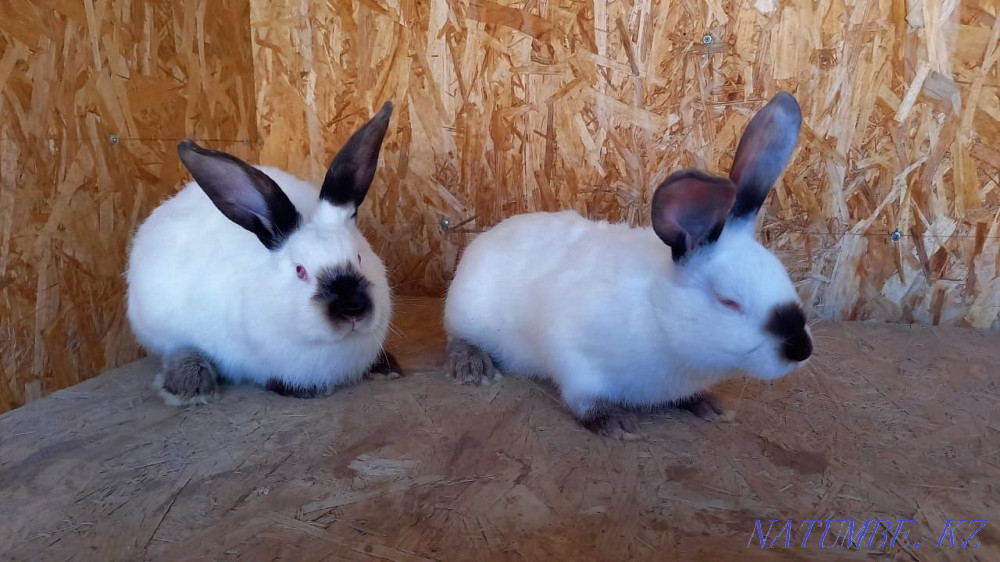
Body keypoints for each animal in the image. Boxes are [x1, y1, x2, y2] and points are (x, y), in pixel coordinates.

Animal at [125, 102, 401, 406]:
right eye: (300, 271)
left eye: (360, 258)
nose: (352, 309)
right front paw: (306, 390)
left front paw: (384, 367)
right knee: (177, 350)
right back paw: (190, 387)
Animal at [443, 92, 813, 438]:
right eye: (729, 302)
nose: (802, 349)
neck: (659, 315)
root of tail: (485, 238)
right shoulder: (574, 354)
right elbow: (584, 398)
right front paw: (617, 422)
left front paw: (709, 404)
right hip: (465, 312)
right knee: (457, 338)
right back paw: (474, 367)